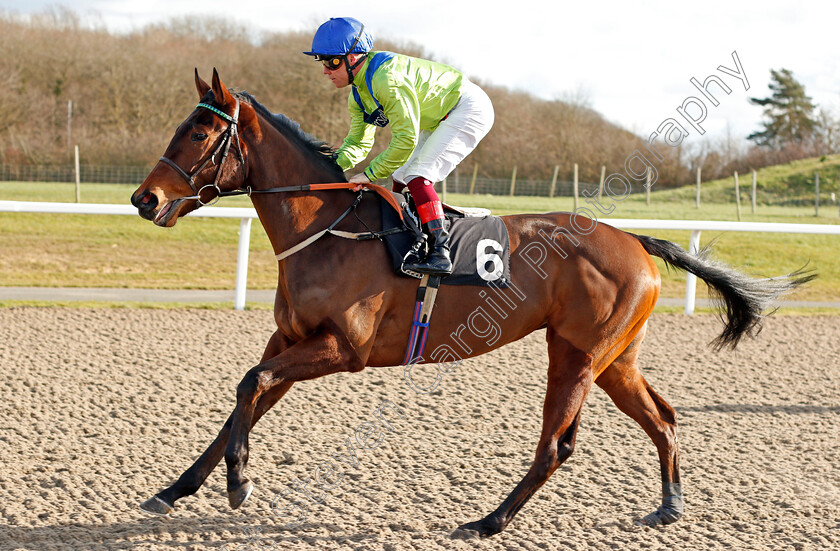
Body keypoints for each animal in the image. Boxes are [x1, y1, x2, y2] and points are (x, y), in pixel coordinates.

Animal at [130, 69, 812, 540]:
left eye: (199, 132)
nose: (143, 199)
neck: (327, 228)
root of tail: (634, 239)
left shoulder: (341, 349)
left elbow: (250, 384)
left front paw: (238, 485)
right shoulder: (292, 340)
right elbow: (244, 398)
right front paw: (176, 488)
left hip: (576, 353)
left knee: (557, 446)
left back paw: (488, 522)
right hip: (614, 359)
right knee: (663, 418)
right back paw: (668, 507)